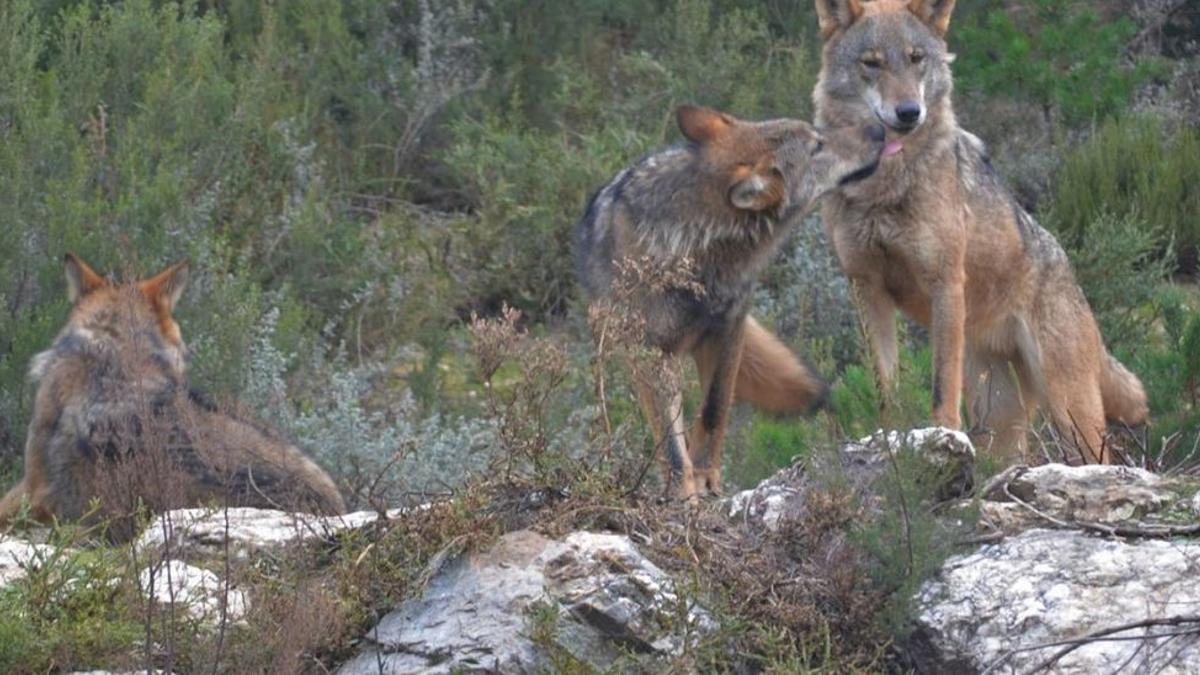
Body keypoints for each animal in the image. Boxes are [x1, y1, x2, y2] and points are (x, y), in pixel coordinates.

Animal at [576, 103, 888, 494]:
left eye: (817, 133)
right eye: (817, 145)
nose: (879, 129)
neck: (693, 250)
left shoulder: (729, 329)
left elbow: (714, 409)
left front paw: (706, 475)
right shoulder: (651, 353)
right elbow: (669, 441)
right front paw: (683, 492)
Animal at [811, 0, 1147, 458]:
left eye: (916, 59)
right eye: (872, 63)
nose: (909, 112)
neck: (885, 185)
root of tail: (1068, 270)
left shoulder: (945, 281)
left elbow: (941, 384)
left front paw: (941, 436)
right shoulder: (866, 288)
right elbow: (885, 387)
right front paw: (889, 440)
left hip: (1070, 410)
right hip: (1000, 417)